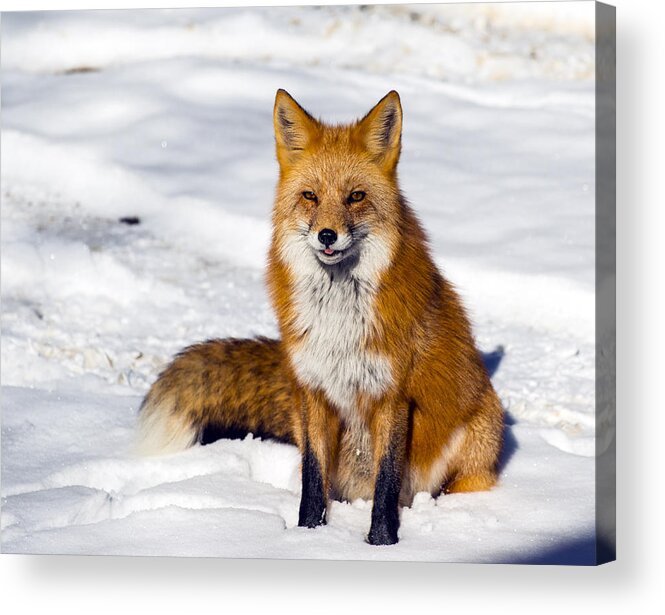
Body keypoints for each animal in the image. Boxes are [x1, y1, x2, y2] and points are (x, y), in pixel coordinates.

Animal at [137, 90, 500, 544]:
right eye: (310, 196)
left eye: (356, 196)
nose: (327, 235)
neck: (337, 322)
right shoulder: (313, 391)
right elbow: (312, 478)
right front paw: (307, 535)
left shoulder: (392, 395)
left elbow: (386, 483)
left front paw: (382, 544)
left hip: (478, 435)